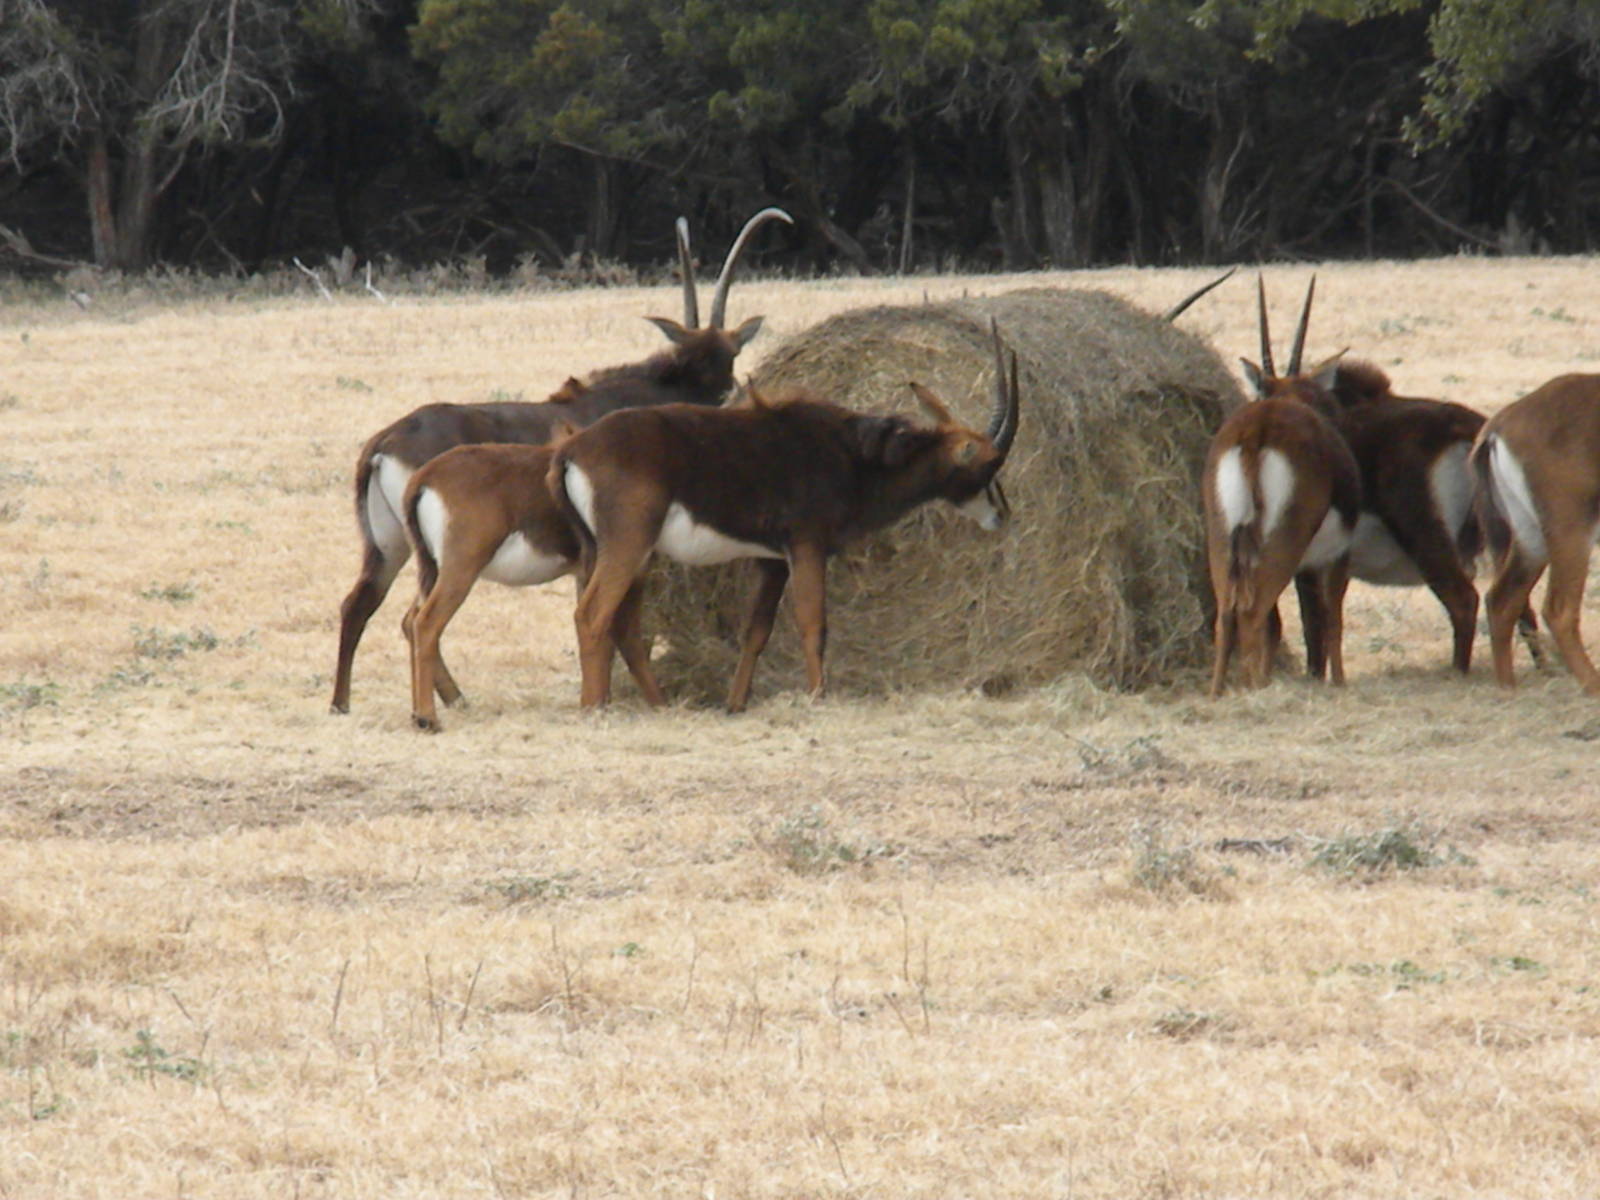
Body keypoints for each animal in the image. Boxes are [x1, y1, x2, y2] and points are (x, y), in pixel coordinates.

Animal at [328, 206, 792, 714]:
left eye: (728, 354)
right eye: (693, 358)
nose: (729, 395)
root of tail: (384, 442)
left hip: (388, 546)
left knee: (361, 605)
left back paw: (348, 702)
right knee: (415, 618)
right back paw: (447, 701)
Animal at [548, 323, 1021, 712]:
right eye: (988, 465)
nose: (1002, 514)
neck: (856, 454)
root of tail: (573, 449)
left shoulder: (772, 561)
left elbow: (756, 632)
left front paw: (736, 704)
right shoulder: (806, 546)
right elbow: (814, 623)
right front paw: (817, 696)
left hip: (610, 552)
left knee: (622, 625)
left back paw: (655, 704)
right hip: (629, 545)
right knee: (593, 615)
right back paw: (595, 707)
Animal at [1205, 279, 1362, 695]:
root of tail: (1256, 431)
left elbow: (1292, 624)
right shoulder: (1335, 555)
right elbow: (1330, 617)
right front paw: (1338, 683)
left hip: (1224, 540)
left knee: (1228, 616)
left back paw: (1219, 694)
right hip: (1282, 544)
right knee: (1252, 613)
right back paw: (1252, 689)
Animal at [1473, 374, 1600, 695]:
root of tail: (1499, 425)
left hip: (1531, 538)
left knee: (1501, 600)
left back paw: (1507, 688)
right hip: (1571, 532)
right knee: (1559, 610)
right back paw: (1593, 686)